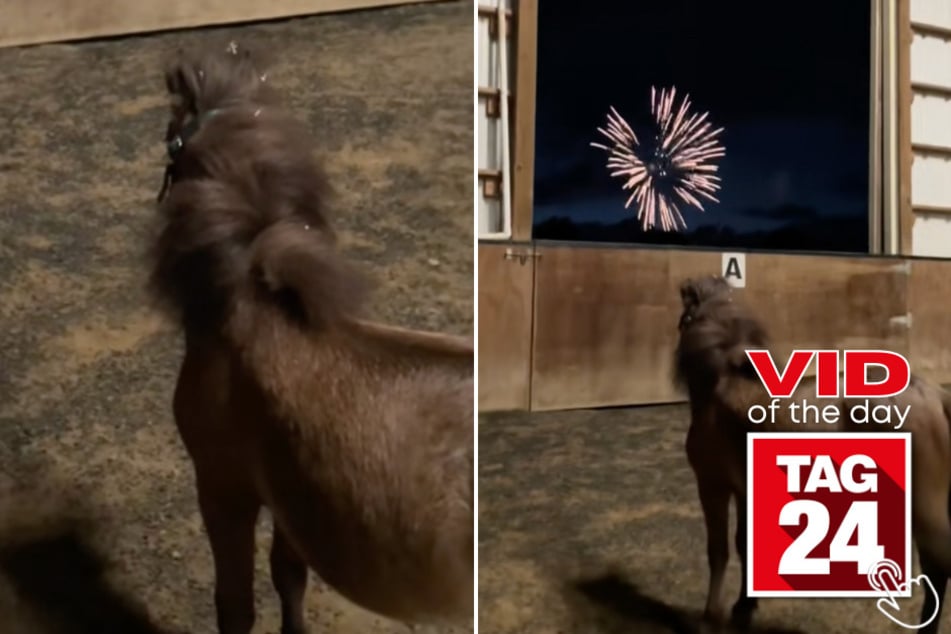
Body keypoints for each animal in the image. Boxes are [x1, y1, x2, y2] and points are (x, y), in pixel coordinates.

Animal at [149, 45, 472, 632]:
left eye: (170, 136)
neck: (251, 313)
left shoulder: (222, 489)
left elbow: (235, 606)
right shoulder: (291, 494)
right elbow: (288, 576)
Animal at [676, 274, 951, 628]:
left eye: (685, 315)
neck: (721, 387)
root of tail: (934, 395)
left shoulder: (712, 487)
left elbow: (718, 551)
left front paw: (711, 617)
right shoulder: (742, 490)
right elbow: (743, 545)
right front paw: (744, 607)